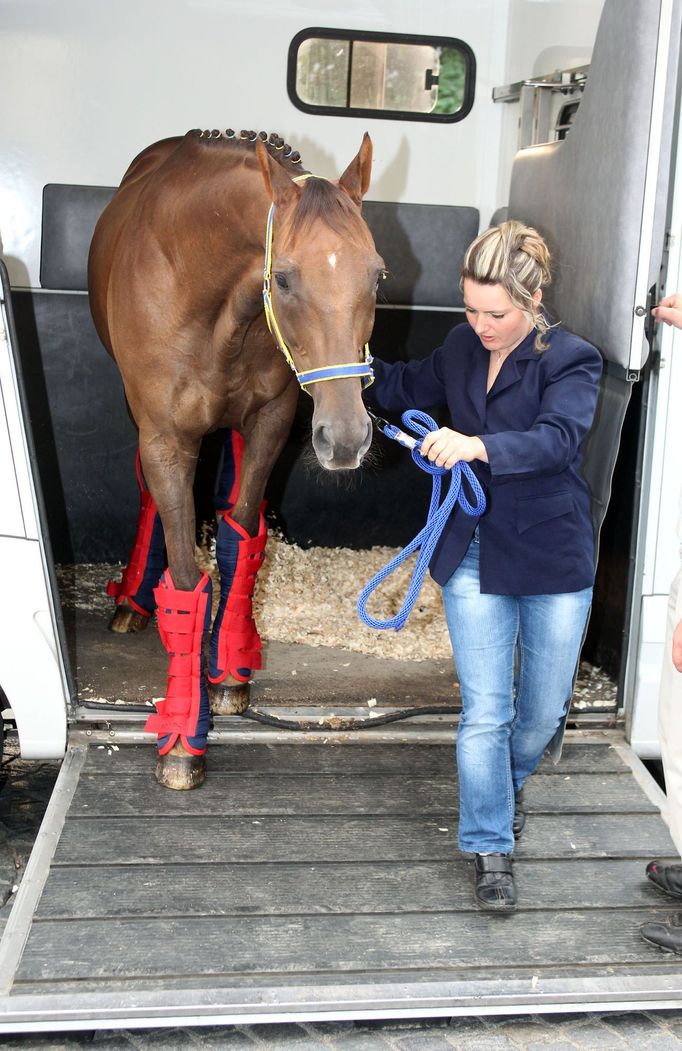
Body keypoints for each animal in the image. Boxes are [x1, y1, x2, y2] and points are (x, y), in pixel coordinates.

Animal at [87, 127, 380, 790]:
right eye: (286, 279)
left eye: (377, 274)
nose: (346, 438)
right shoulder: (165, 439)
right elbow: (185, 580)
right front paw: (182, 736)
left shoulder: (269, 423)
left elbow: (238, 539)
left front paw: (228, 671)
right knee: (148, 498)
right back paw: (132, 601)